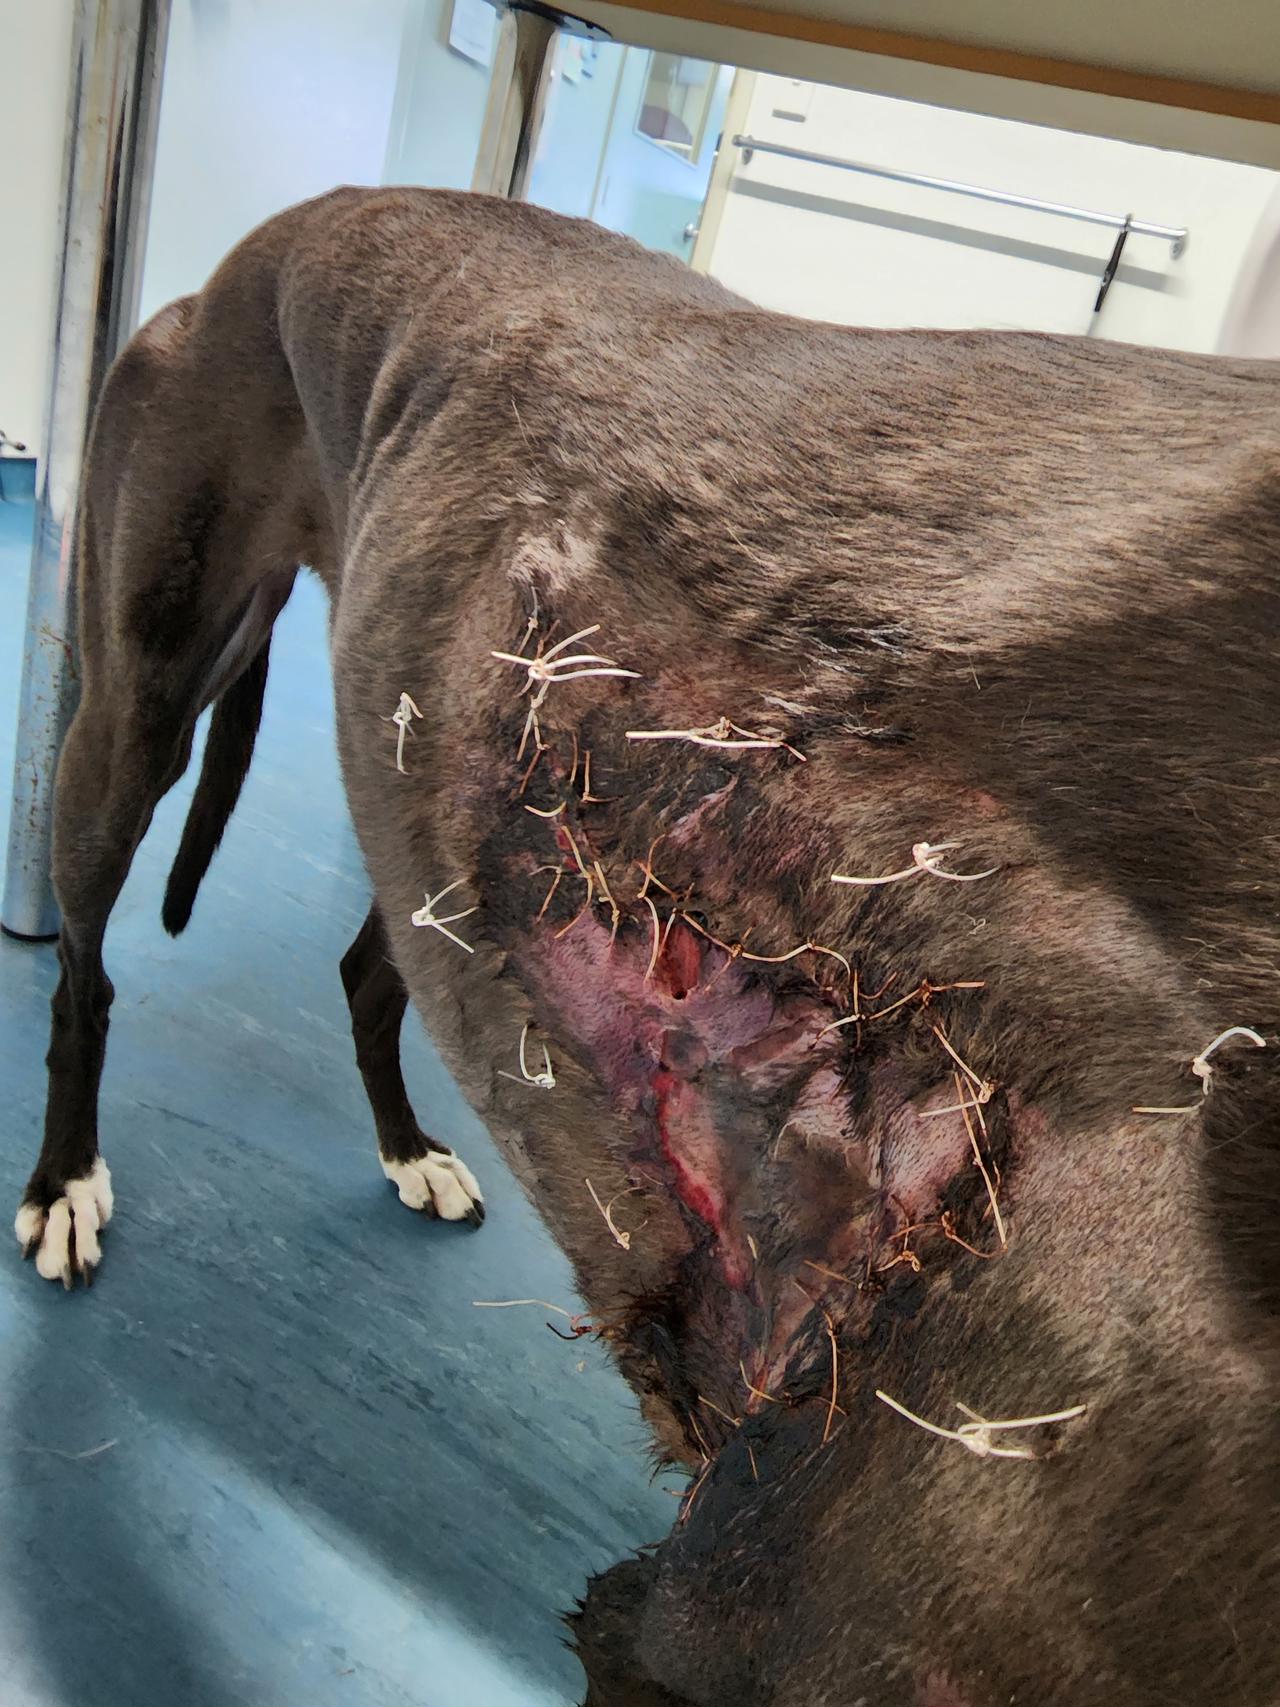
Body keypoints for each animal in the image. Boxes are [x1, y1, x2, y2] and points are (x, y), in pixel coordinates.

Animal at [16, 185, 1280, 1705]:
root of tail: (289, 227)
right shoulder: (710, 1629)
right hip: (132, 709)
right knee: (86, 975)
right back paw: (65, 1181)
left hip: (419, 788)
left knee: (369, 969)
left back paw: (409, 1149)